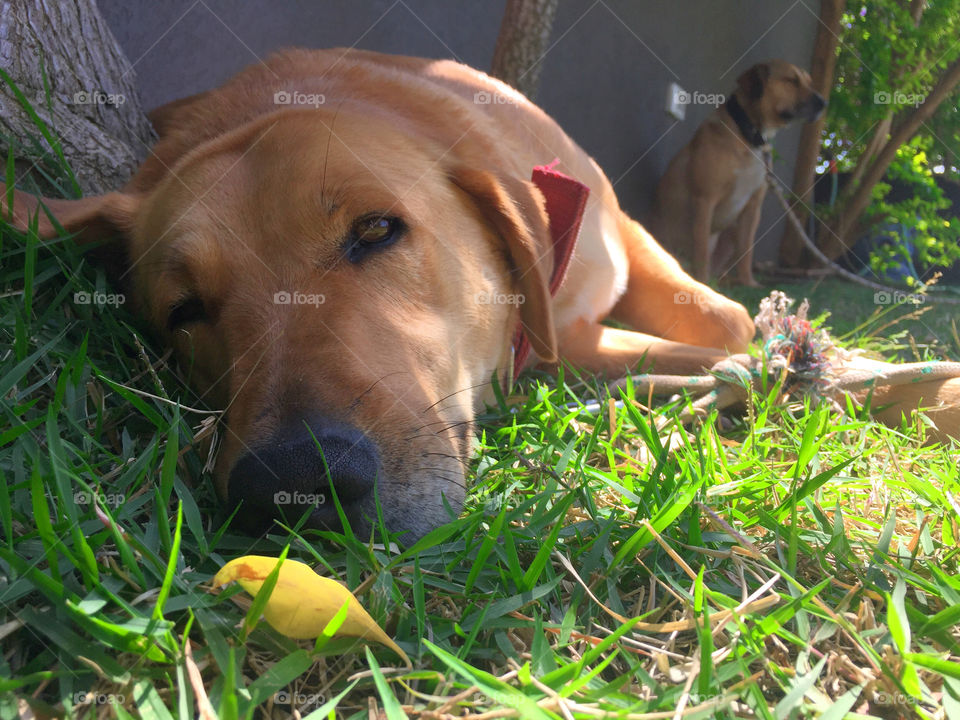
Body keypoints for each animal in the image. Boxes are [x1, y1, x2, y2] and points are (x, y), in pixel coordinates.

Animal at [1, 47, 756, 540]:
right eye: (183, 310)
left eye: (375, 230)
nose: (295, 484)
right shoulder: (558, 345)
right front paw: (721, 378)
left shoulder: (621, 237)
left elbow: (731, 322)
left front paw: (765, 362)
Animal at [652, 59, 824, 284]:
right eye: (791, 80)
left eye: (809, 82)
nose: (823, 103)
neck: (748, 137)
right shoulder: (705, 199)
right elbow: (701, 247)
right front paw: (701, 280)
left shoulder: (753, 208)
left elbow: (747, 251)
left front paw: (748, 283)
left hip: (731, 230)